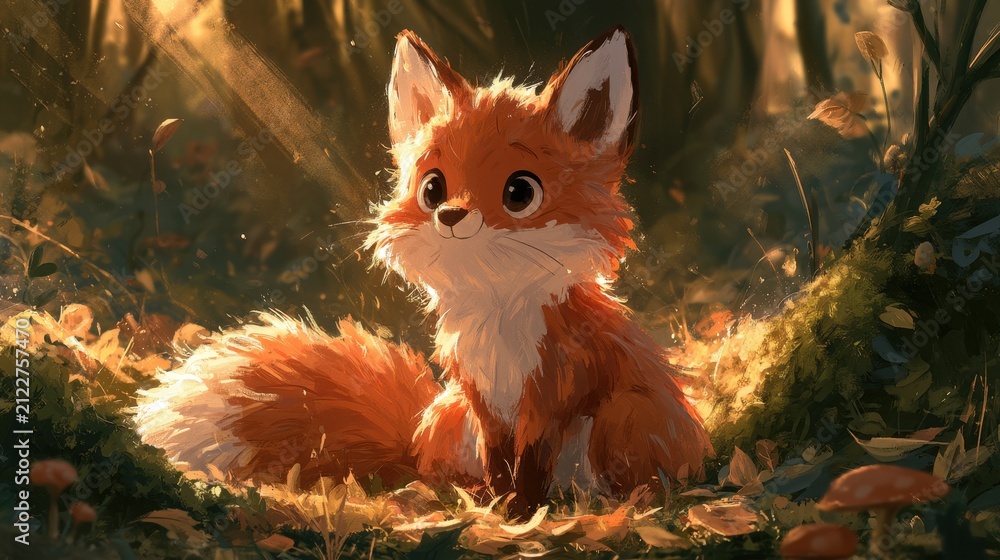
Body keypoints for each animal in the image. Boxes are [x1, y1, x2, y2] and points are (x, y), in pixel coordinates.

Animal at [136, 26, 713, 516]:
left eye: (520, 191)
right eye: (433, 187)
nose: (450, 215)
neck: (499, 321)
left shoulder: (551, 396)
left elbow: (530, 468)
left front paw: (522, 517)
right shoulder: (481, 401)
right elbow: (503, 466)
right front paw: (500, 510)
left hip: (625, 418)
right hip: (447, 415)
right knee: (439, 476)